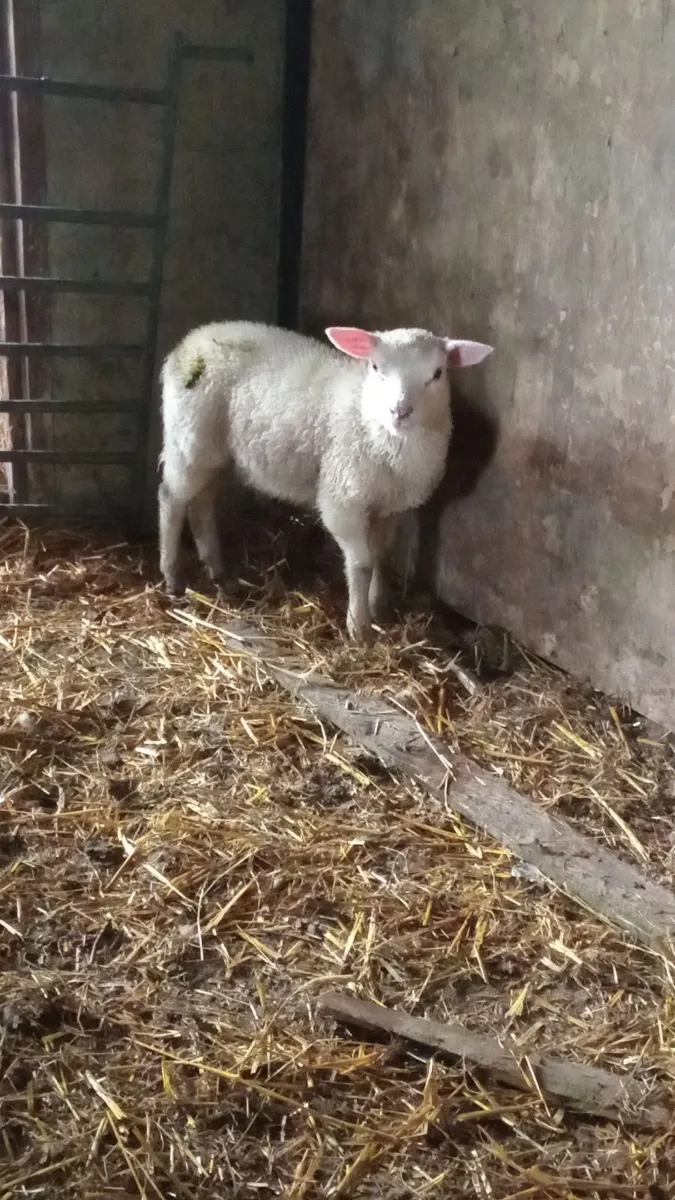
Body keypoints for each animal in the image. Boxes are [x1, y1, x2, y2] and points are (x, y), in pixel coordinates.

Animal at [158, 321, 493, 643]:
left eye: (437, 374)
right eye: (376, 368)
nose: (400, 412)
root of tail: (189, 341)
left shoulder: (390, 507)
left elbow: (381, 557)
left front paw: (378, 608)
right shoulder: (343, 501)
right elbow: (361, 564)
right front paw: (360, 628)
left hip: (216, 454)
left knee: (202, 502)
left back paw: (218, 571)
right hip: (189, 439)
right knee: (171, 498)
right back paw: (173, 577)